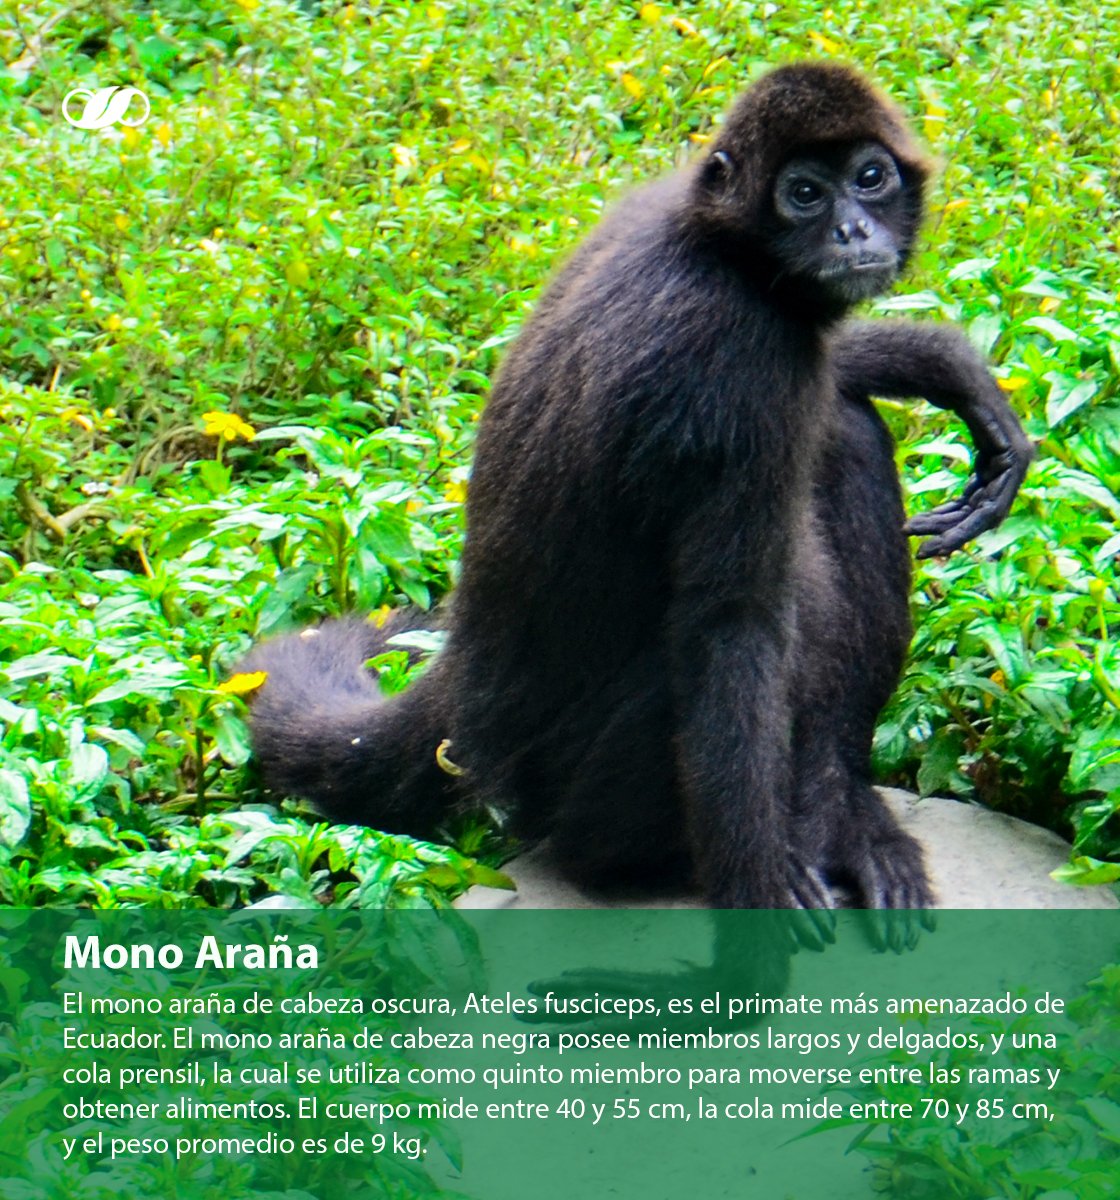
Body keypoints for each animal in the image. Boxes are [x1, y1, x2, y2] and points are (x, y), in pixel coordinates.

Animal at [242, 65, 1032, 944]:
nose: (854, 231)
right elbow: (730, 627)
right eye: (802, 194)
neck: (716, 250)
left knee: (846, 430)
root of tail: (466, 684)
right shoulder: (736, 357)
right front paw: (759, 888)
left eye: (870, 178)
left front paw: (941, 362)